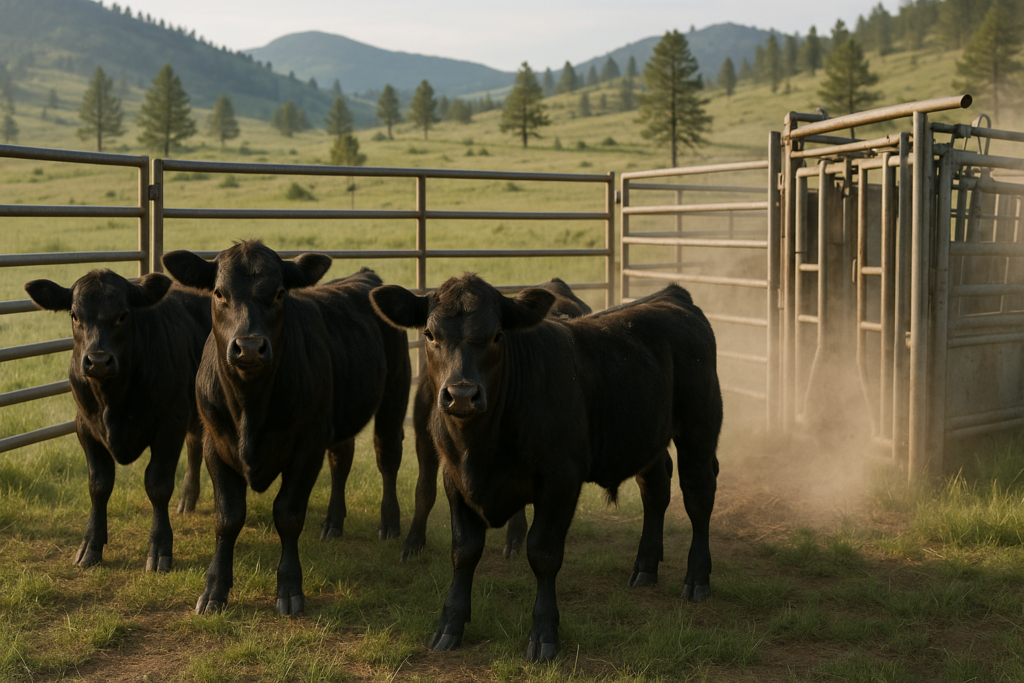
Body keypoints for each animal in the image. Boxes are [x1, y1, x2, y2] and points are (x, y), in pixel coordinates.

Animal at [23, 269, 211, 572]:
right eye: (74, 315)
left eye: (124, 314)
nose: (98, 361)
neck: (111, 399)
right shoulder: (85, 428)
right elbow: (99, 485)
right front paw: (91, 545)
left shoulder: (169, 423)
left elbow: (157, 485)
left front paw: (160, 549)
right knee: (195, 445)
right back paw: (188, 499)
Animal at [161, 240, 411, 616]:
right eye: (219, 293)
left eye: (279, 293)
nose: (249, 347)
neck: (250, 406)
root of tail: (364, 275)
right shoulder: (214, 445)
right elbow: (228, 518)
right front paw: (214, 590)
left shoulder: (307, 447)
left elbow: (288, 514)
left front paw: (290, 589)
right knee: (342, 460)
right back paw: (333, 523)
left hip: (394, 397)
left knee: (388, 458)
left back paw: (390, 524)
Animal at [401, 278, 592, 562]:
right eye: (430, 334)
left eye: (496, 335)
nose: (462, 396)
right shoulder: (423, 437)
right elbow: (424, 489)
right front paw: (413, 542)